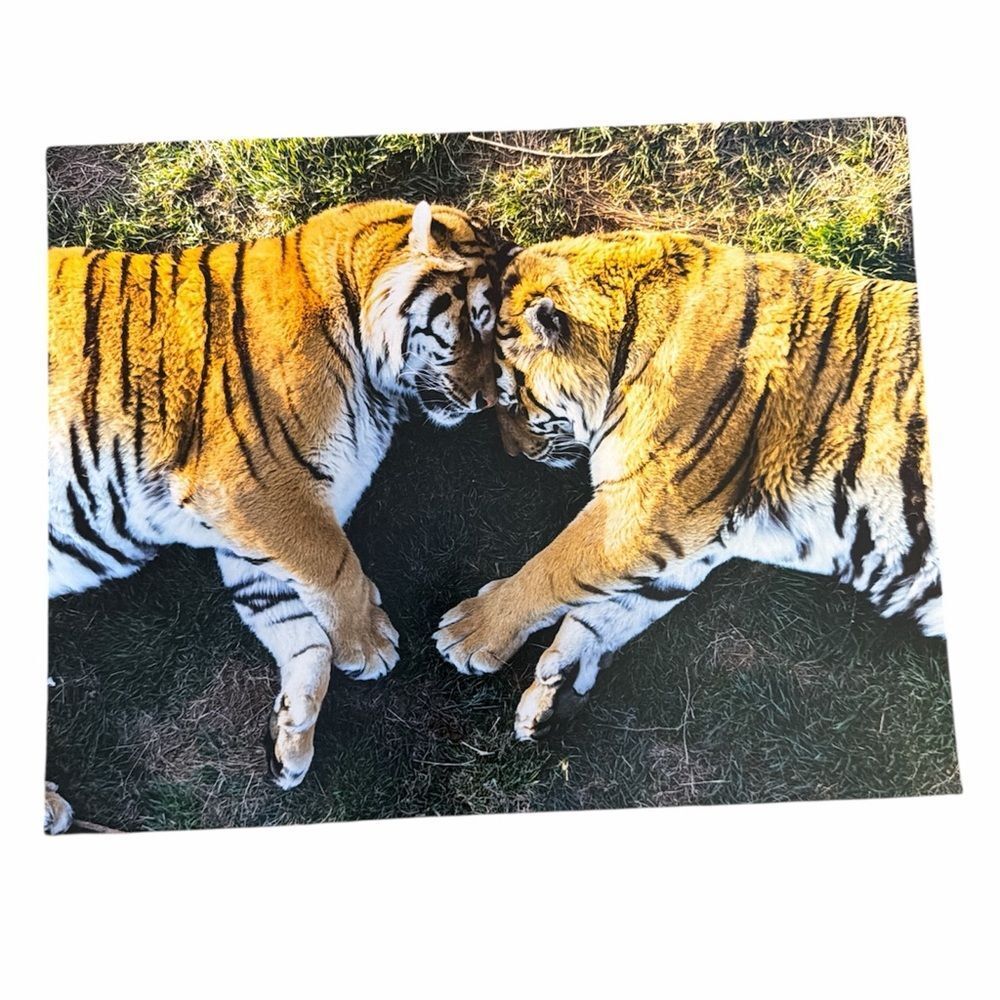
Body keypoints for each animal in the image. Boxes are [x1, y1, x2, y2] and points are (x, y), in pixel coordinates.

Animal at [48, 199, 508, 830]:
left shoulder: (248, 537)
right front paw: (370, 644)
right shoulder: (257, 494)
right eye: (477, 320)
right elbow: (338, 571)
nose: (490, 402)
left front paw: (291, 737)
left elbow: (303, 634)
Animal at [433, 229, 942, 741]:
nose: (512, 454)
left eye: (511, 403)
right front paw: (556, 690)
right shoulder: (688, 539)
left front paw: (470, 632)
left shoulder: (645, 507)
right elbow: (606, 611)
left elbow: (554, 569)